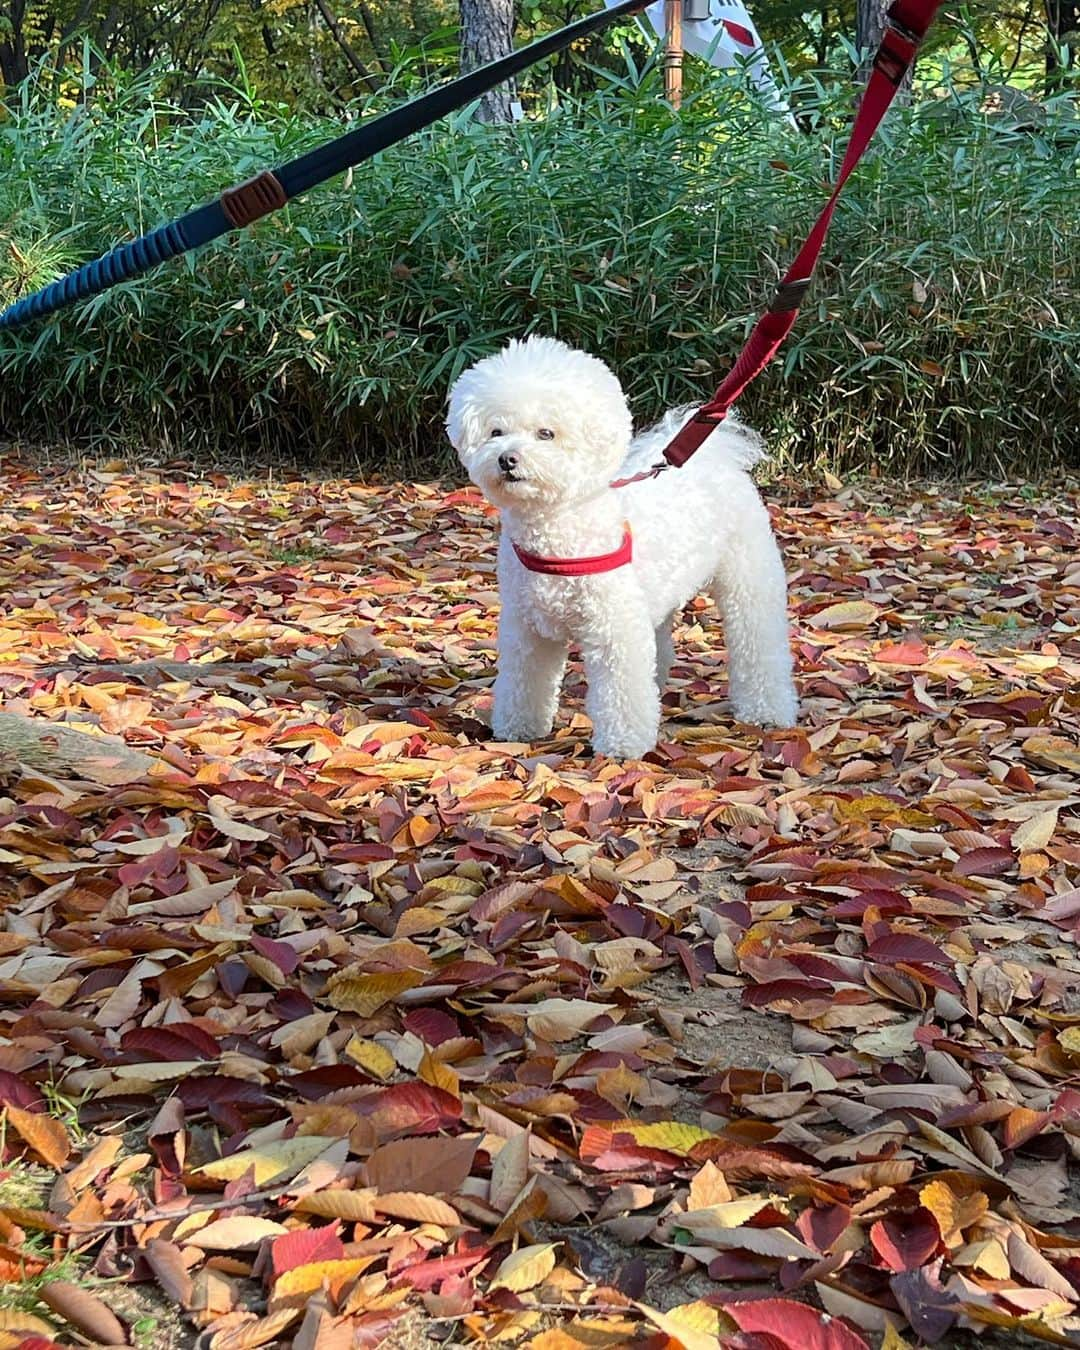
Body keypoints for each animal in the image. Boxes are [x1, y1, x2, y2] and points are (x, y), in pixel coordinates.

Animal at [442, 336, 799, 761]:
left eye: (546, 433)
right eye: (496, 431)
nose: (507, 459)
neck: (559, 533)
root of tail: (717, 457)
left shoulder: (614, 630)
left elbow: (620, 692)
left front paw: (623, 747)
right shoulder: (527, 630)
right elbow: (524, 682)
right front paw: (518, 729)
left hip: (749, 579)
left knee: (758, 641)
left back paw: (767, 711)